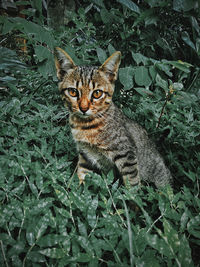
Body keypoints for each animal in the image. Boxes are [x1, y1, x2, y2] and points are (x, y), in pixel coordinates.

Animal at [54, 46, 172, 188]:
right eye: (73, 92)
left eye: (97, 93)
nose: (84, 108)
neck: (85, 126)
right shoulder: (85, 155)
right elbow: (80, 176)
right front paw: (73, 190)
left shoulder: (127, 155)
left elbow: (132, 185)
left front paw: (131, 194)